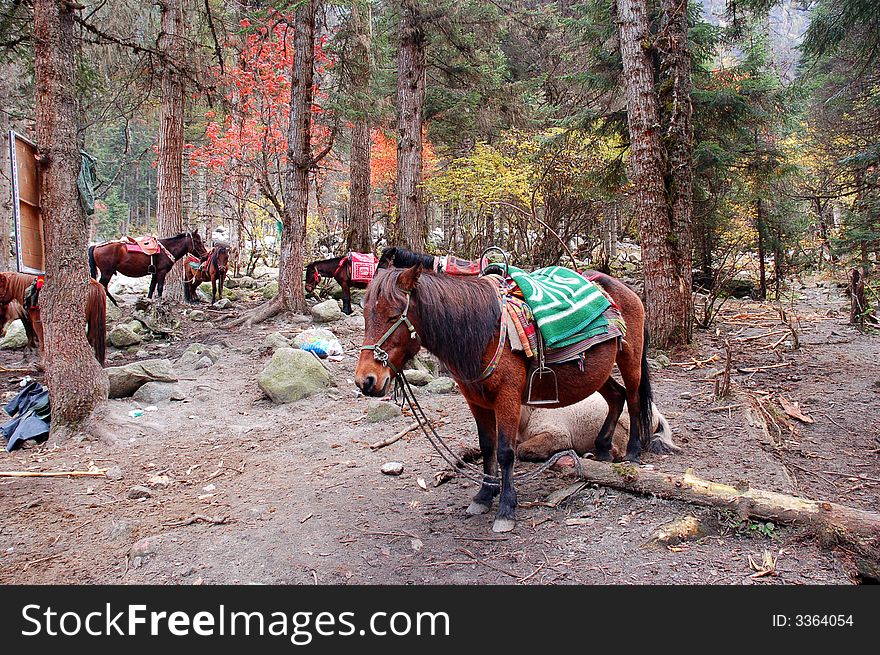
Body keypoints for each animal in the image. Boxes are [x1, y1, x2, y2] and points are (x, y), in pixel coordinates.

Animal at [356, 266, 652, 532]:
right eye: (366, 315)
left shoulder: (507, 399)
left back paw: (633, 454)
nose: (365, 380)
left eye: (393, 315)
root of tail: (625, 290)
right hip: (599, 373)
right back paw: (602, 449)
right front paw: (484, 495)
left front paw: (506, 509)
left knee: (634, 400)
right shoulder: (476, 401)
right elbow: (488, 447)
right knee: (617, 397)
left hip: (630, 360)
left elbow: (506, 452)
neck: (483, 334)